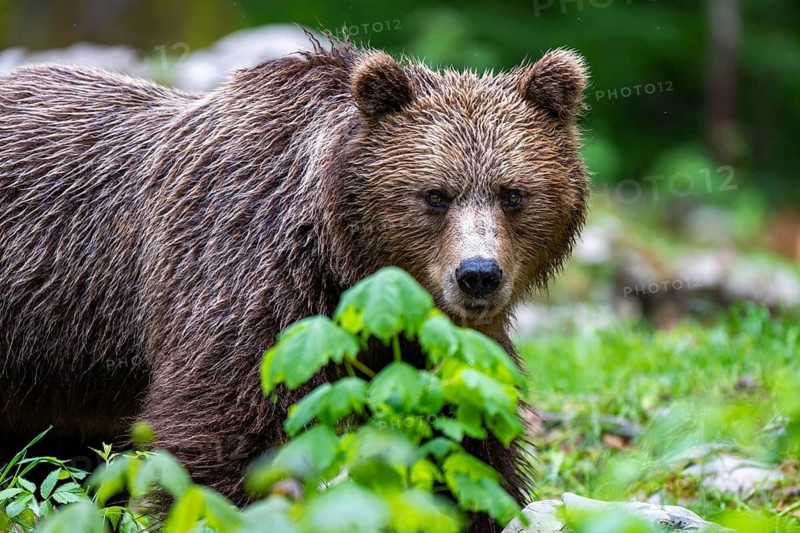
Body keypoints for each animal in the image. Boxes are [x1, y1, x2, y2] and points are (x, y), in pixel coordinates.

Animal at [0, 38, 588, 532]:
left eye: (513, 194)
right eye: (435, 195)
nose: (478, 275)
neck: (347, 261)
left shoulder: (427, 334)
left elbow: (463, 435)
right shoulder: (248, 276)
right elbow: (224, 434)